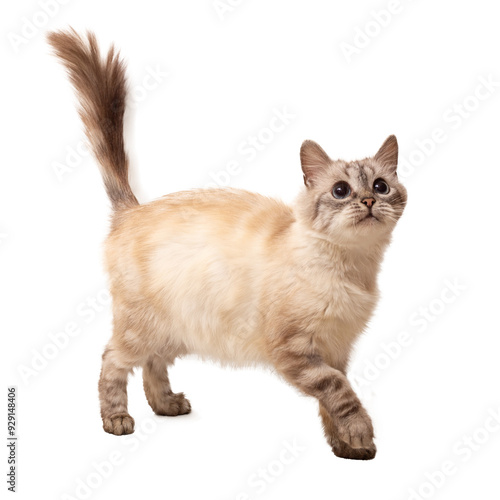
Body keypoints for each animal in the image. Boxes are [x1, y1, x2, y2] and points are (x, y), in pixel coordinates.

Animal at [47, 28, 406, 460]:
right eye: (341, 191)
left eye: (380, 187)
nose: (367, 201)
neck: (353, 268)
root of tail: (133, 209)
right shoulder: (298, 350)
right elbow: (340, 394)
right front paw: (359, 434)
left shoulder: (335, 349)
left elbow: (330, 402)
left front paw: (344, 447)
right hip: (142, 328)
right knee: (112, 360)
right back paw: (117, 420)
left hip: (175, 330)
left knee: (153, 365)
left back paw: (166, 405)